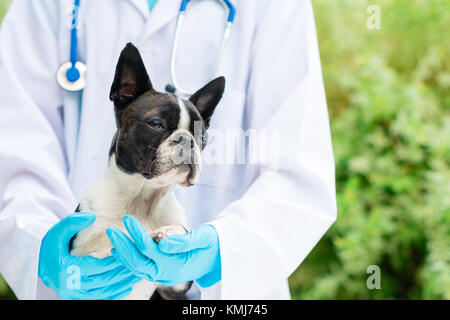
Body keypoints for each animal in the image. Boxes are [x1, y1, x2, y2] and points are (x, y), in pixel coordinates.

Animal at [70, 43, 225, 300]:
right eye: (155, 124)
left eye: (202, 135)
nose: (187, 139)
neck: (143, 198)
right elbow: (100, 252)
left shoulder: (175, 288)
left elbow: (182, 233)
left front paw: (171, 233)